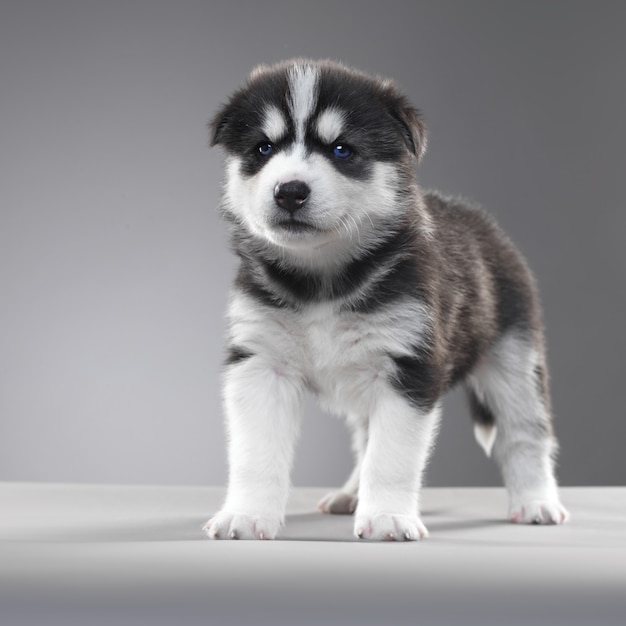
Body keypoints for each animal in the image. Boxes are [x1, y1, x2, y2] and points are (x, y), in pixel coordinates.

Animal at [202, 58, 568, 540]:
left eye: (342, 150)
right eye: (263, 148)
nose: (290, 191)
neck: (322, 278)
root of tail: (481, 220)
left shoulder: (406, 365)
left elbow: (391, 455)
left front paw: (387, 517)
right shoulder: (261, 363)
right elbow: (256, 454)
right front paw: (245, 515)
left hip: (514, 359)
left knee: (524, 433)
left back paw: (537, 502)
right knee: (364, 438)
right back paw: (350, 494)